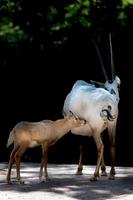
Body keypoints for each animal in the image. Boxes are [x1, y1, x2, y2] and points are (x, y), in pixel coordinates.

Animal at [62, 34, 120, 181]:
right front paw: (103, 171)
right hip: (112, 125)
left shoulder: (85, 126)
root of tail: (108, 101)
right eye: (108, 86)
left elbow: (82, 146)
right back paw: (111, 174)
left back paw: (94, 175)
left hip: (95, 126)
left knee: (100, 146)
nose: (116, 98)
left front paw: (80, 170)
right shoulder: (102, 127)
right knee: (112, 144)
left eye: (118, 86)